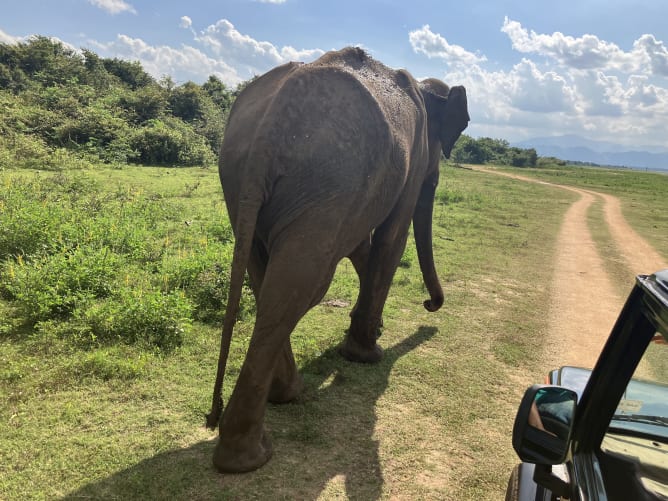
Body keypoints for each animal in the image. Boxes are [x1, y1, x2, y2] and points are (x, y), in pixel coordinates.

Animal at [206, 47, 468, 472]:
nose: (430, 306)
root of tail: (269, 126)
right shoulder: (410, 161)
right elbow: (390, 239)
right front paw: (368, 355)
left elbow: (363, 244)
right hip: (327, 177)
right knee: (304, 284)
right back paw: (250, 455)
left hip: (246, 181)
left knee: (268, 278)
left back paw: (283, 399)